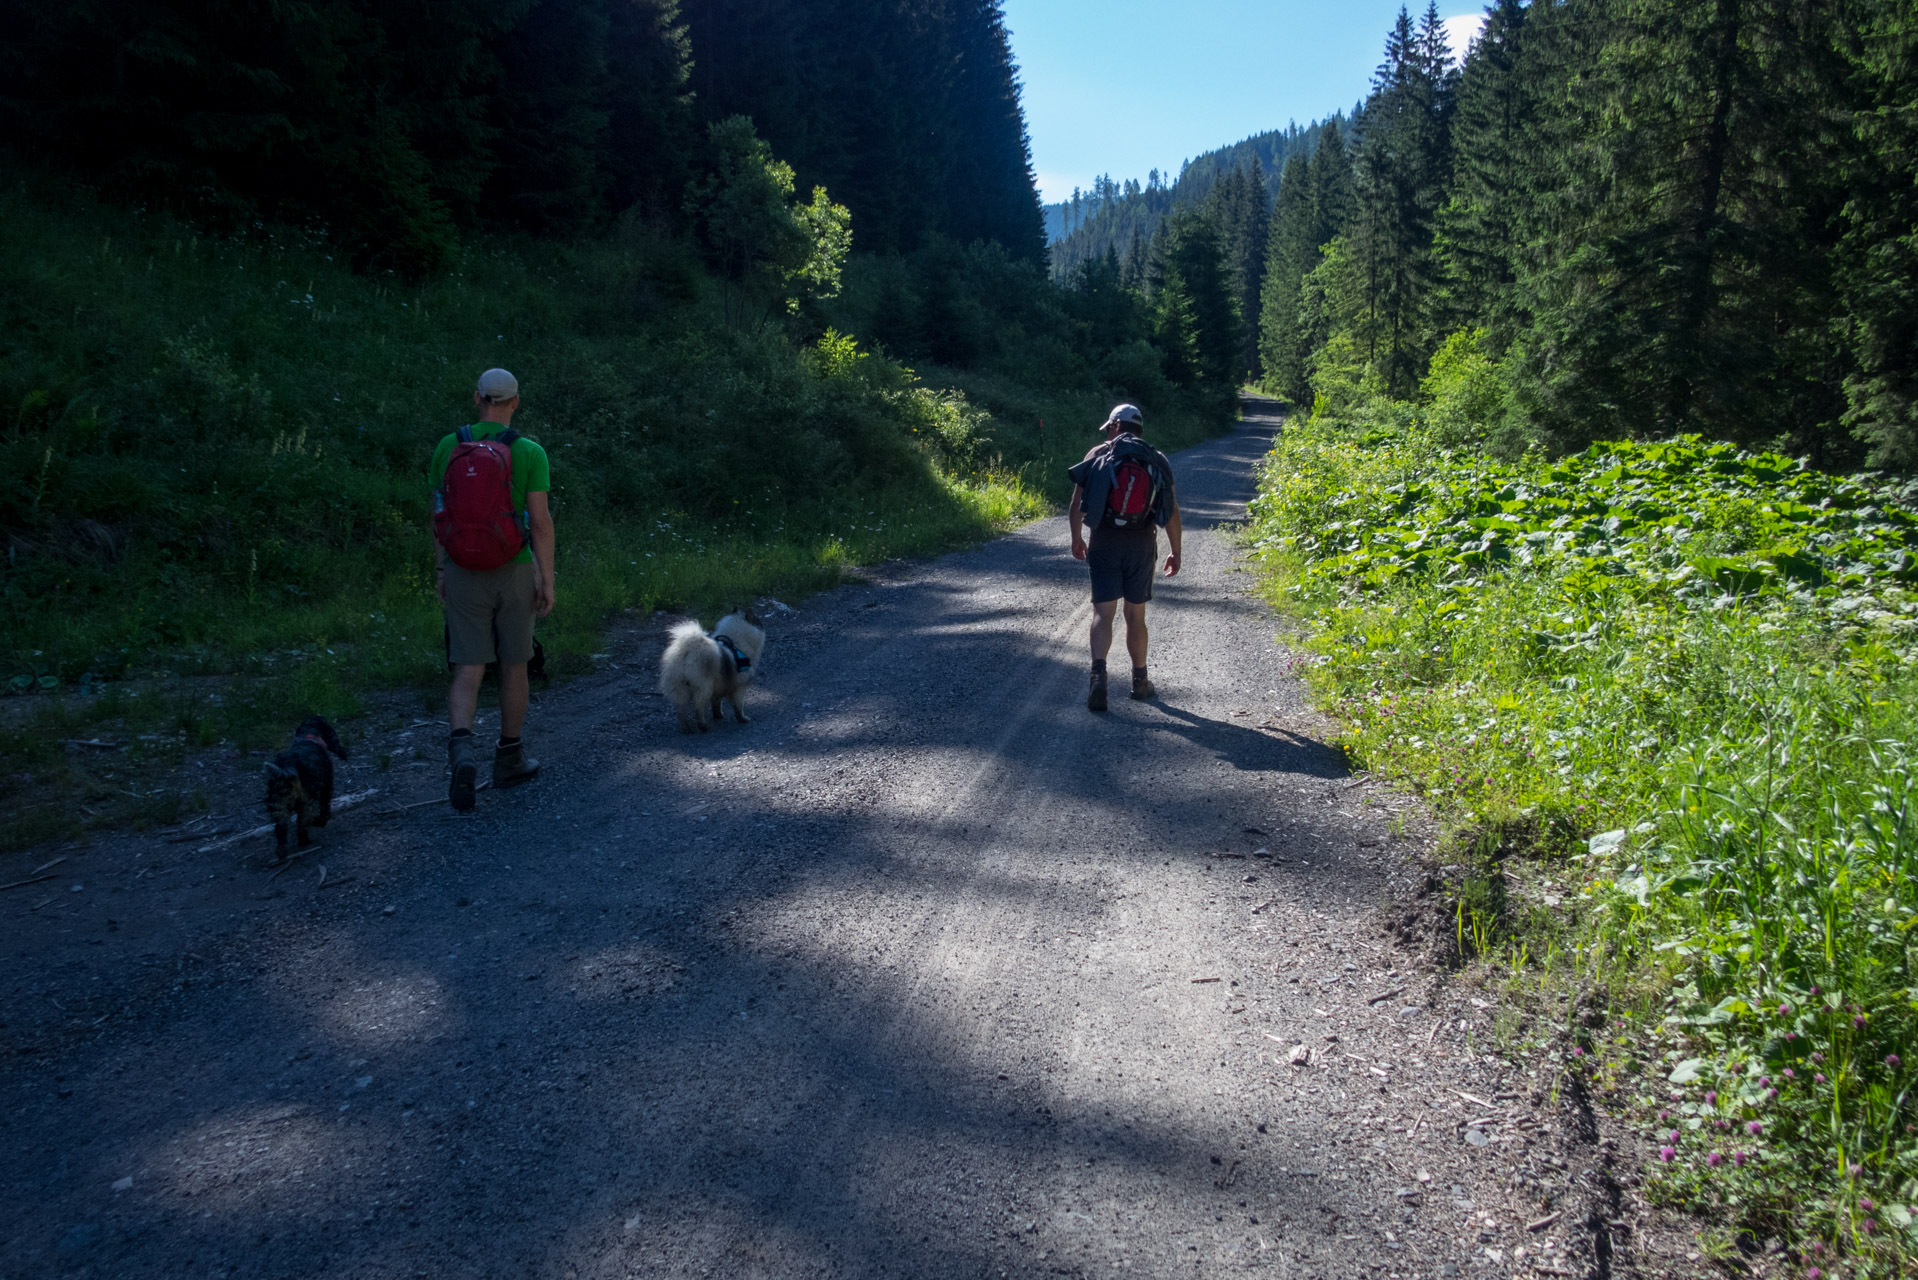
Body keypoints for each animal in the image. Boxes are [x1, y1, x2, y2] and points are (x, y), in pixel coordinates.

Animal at [264, 710, 350, 859]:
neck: (308, 738)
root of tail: (289, 766)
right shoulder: (326, 786)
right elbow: (325, 806)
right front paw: (323, 819)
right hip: (307, 800)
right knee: (303, 824)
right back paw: (307, 837)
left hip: (278, 804)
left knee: (281, 829)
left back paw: (282, 851)